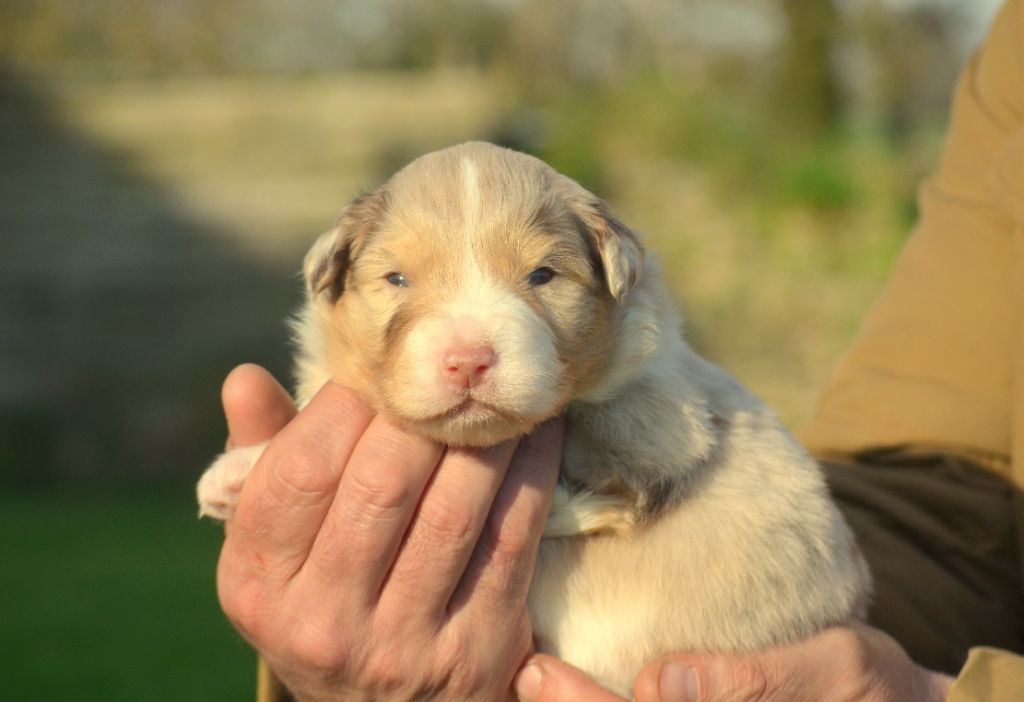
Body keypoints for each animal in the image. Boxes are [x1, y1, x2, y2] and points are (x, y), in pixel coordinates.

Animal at [197, 141, 872, 699]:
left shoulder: (649, 431)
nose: (468, 359)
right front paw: (237, 472)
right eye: (397, 279)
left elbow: (584, 488)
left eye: (542, 275)